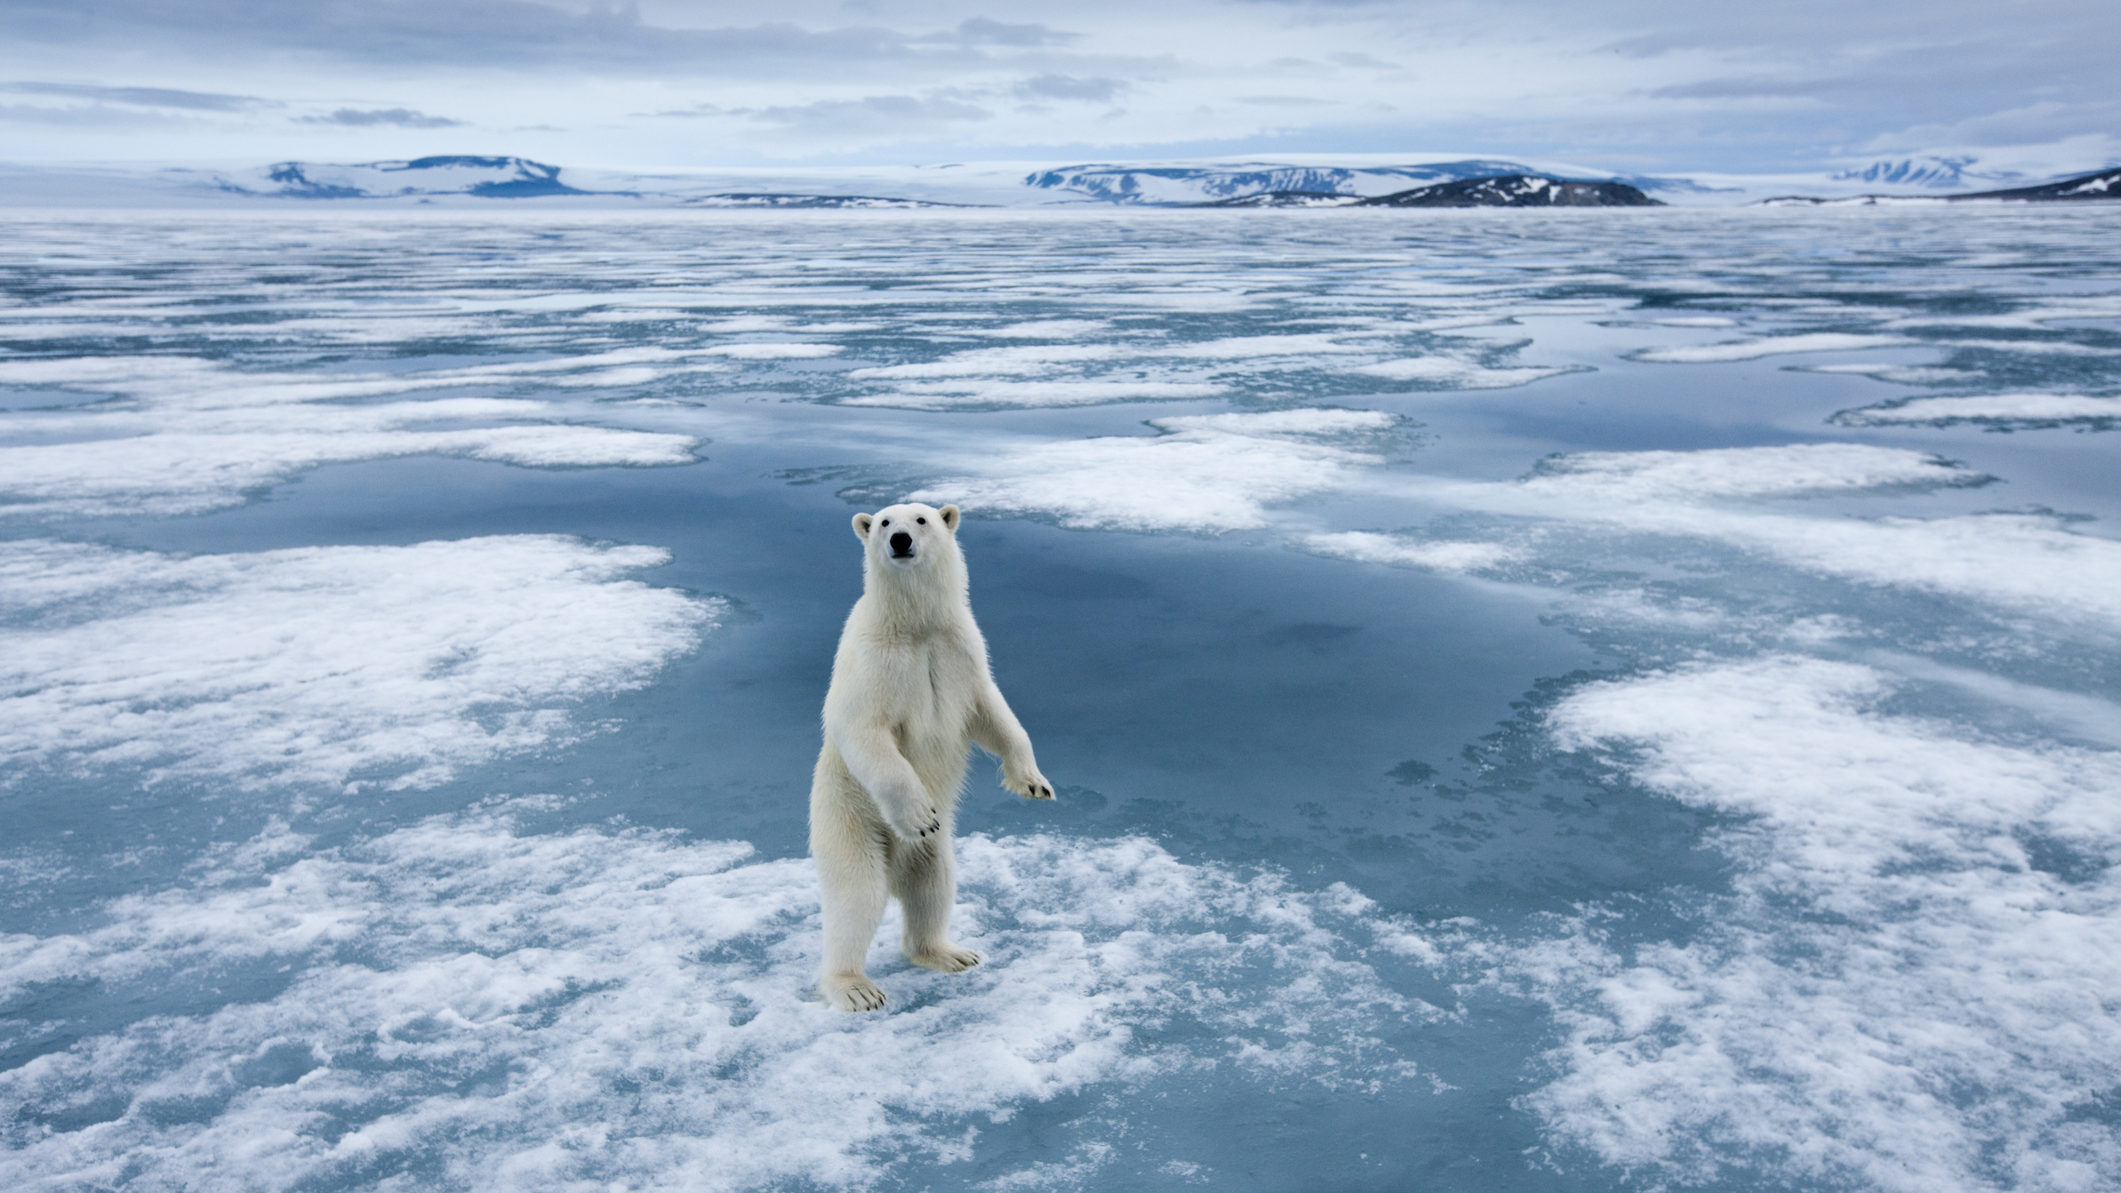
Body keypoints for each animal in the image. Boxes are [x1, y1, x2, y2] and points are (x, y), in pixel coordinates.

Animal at [810, 496, 1052, 1006]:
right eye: (884, 521)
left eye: (921, 519)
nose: (901, 540)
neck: (915, 628)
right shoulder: (873, 661)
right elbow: (863, 730)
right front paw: (921, 814)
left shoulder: (961, 650)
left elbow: (993, 713)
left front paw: (1033, 782)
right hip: (849, 816)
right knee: (857, 896)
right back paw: (854, 988)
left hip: (931, 855)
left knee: (933, 886)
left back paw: (949, 953)